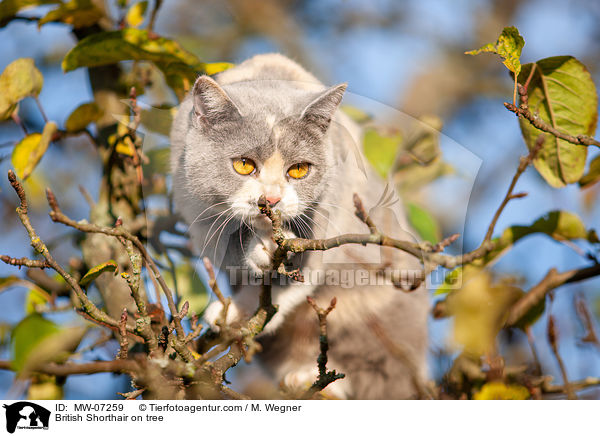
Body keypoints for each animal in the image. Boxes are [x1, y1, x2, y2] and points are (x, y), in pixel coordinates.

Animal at [171, 52, 428, 398]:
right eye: (244, 165)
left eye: (299, 170)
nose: (271, 198)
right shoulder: (199, 213)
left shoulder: (332, 213)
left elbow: (297, 276)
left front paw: (241, 304)